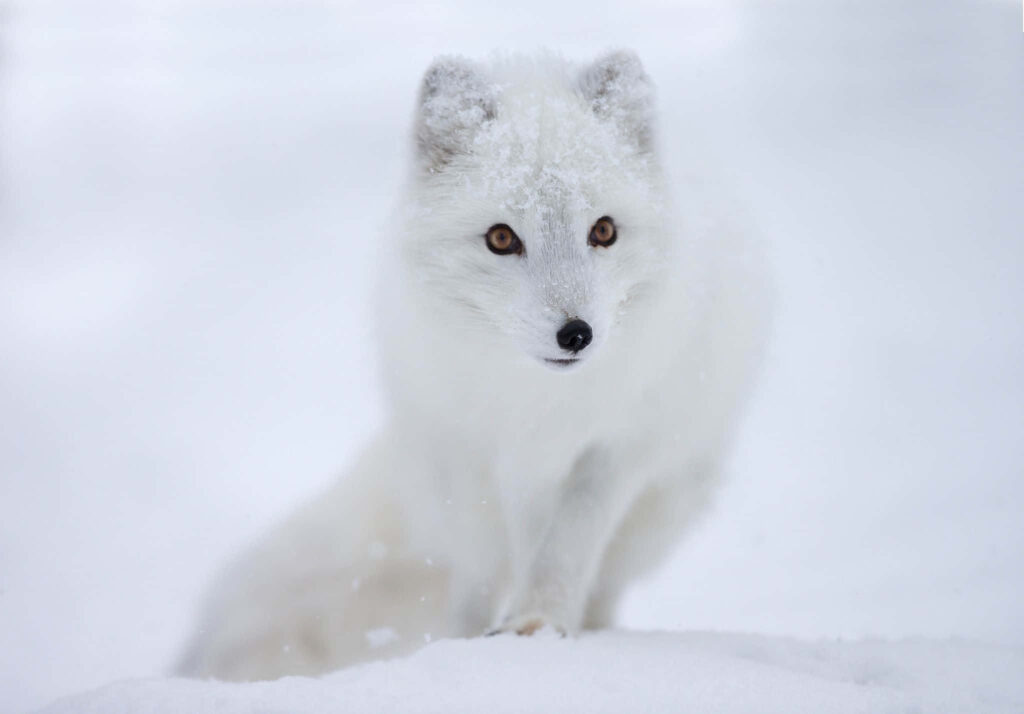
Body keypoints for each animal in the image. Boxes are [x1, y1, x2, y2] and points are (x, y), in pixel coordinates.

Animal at [178, 50, 770, 681]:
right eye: (502, 238)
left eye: (604, 230)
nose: (576, 334)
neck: (536, 402)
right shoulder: (467, 452)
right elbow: (483, 568)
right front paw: (465, 648)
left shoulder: (617, 449)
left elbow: (566, 546)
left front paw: (539, 625)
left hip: (668, 499)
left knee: (602, 581)